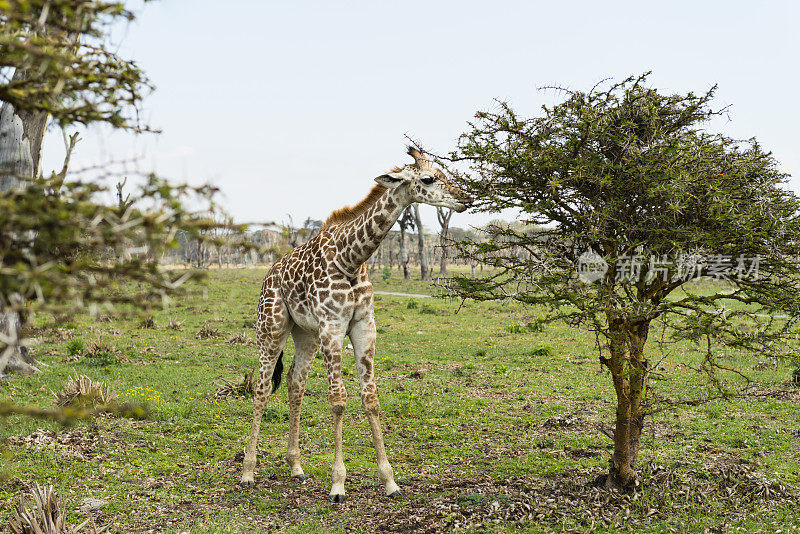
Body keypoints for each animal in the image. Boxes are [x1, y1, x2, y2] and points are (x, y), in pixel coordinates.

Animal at [241, 147, 472, 502]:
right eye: (428, 178)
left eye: (444, 172)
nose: (465, 198)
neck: (351, 259)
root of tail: (269, 273)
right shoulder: (332, 328)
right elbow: (338, 400)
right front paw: (338, 485)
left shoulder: (364, 327)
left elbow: (371, 399)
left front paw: (390, 481)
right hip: (272, 328)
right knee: (263, 387)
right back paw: (248, 472)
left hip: (305, 334)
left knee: (295, 383)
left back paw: (295, 466)